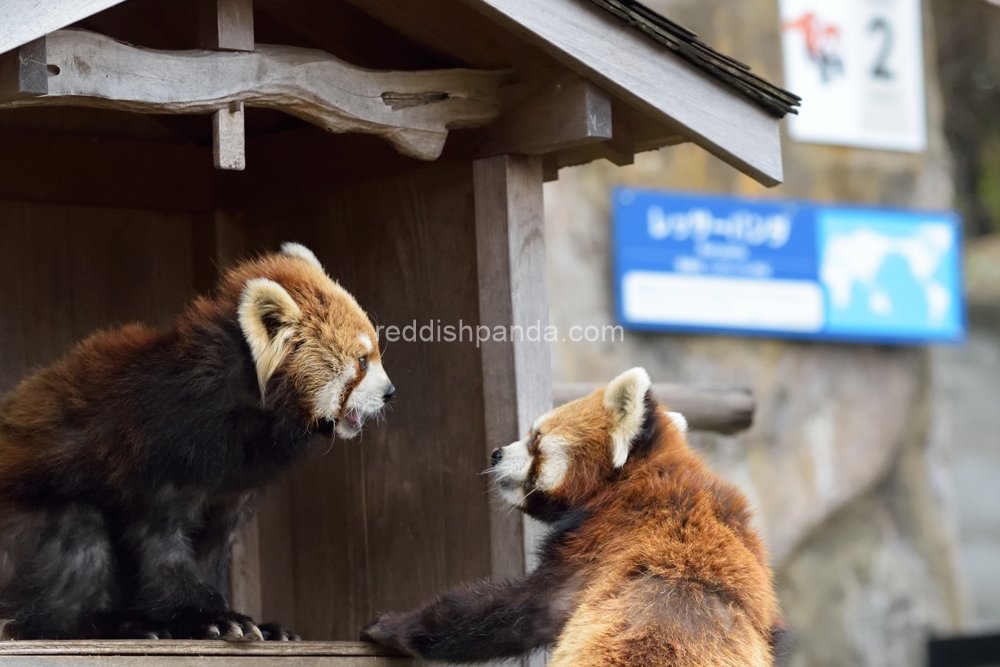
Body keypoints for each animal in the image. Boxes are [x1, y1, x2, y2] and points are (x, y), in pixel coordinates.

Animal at [0, 243, 394, 640]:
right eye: (362, 362)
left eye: (373, 353)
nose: (390, 392)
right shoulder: (155, 448)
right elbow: (162, 545)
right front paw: (211, 618)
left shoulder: (235, 485)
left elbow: (212, 546)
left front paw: (252, 623)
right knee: (76, 533)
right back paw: (112, 624)